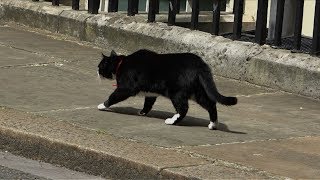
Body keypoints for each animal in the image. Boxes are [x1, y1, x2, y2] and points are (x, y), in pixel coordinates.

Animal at [97, 49, 238, 129]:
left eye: (100, 67)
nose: (96, 72)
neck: (121, 64)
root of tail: (200, 63)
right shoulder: (150, 93)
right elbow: (148, 103)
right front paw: (142, 112)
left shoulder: (126, 87)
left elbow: (113, 96)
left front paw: (102, 105)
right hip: (197, 91)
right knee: (211, 104)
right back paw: (213, 124)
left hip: (177, 92)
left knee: (183, 108)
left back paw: (172, 121)